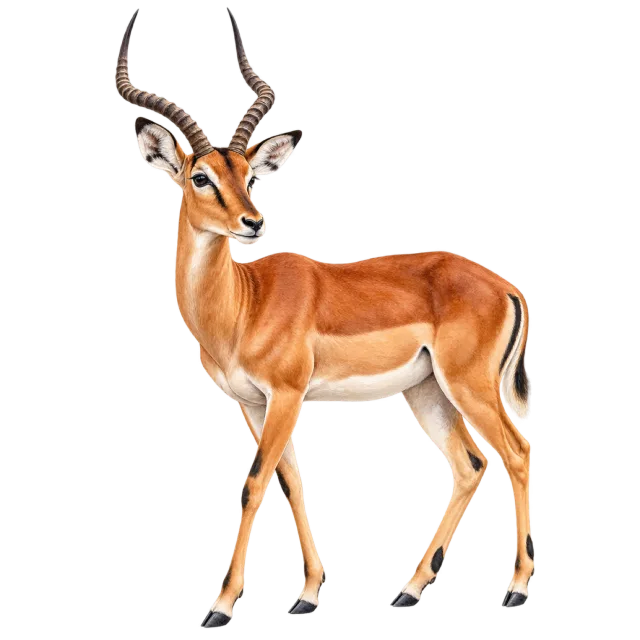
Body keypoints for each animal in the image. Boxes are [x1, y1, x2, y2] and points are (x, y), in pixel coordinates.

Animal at [115, 8, 535, 627]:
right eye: (201, 176)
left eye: (250, 175)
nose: (253, 221)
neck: (243, 306)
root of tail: (505, 286)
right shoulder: (253, 403)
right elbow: (290, 482)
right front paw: (307, 595)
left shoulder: (286, 395)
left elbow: (254, 483)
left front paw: (220, 605)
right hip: (427, 392)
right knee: (471, 465)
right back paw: (409, 590)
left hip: (469, 386)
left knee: (517, 454)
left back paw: (518, 589)